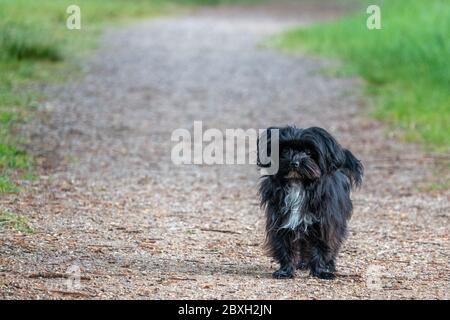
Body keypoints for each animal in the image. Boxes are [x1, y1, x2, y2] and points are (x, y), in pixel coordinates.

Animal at [256, 126, 362, 278]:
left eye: (308, 152)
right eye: (285, 150)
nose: (294, 163)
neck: (298, 184)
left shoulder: (325, 225)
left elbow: (322, 247)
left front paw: (321, 271)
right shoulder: (281, 222)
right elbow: (284, 246)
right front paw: (285, 270)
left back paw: (328, 265)